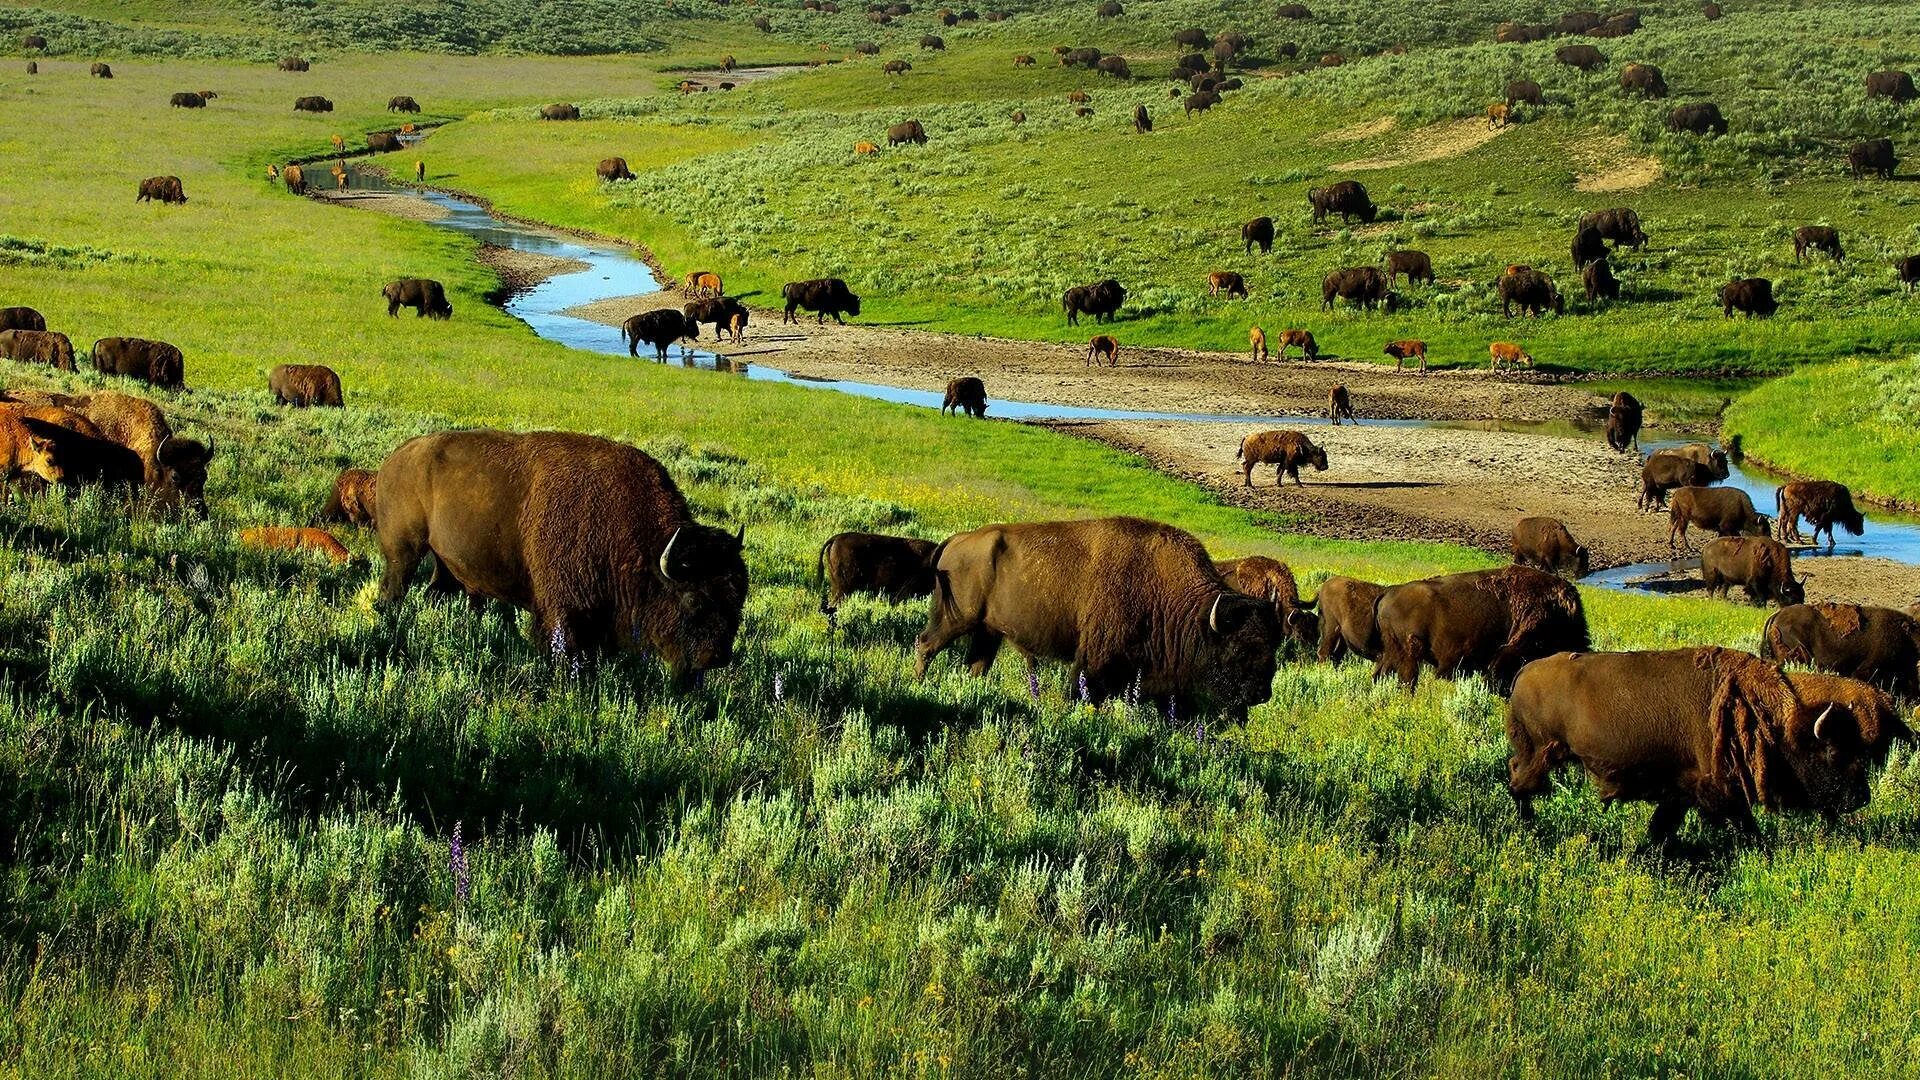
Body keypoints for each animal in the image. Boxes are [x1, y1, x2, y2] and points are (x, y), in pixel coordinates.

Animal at [370, 424, 744, 676]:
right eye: (693, 599)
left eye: (738, 598)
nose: (716, 657)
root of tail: (394, 459)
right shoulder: (564, 610)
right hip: (404, 553)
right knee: (393, 589)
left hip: (445, 564)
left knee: (434, 591)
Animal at [910, 515, 1282, 714]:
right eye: (1236, 649)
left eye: (1272, 648)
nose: (1261, 694)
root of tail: (955, 540)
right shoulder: (1095, 660)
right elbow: (1084, 691)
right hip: (955, 619)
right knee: (925, 644)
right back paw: (919, 684)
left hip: (987, 631)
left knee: (976, 663)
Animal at [1512, 641, 1904, 837]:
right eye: (1833, 753)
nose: (1861, 797)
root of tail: (1524, 672)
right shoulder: (1716, 790)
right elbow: (1745, 826)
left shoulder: (1681, 792)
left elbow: (1664, 826)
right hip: (1538, 754)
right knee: (1519, 786)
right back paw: (1529, 827)